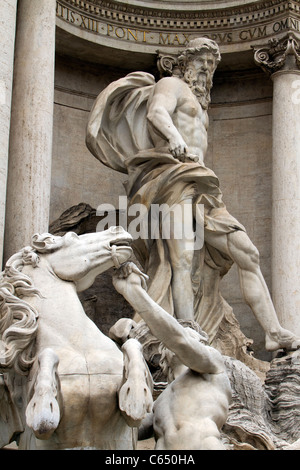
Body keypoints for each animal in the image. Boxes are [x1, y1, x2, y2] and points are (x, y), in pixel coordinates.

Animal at [0, 229, 152, 450]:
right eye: (72, 236)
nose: (116, 229)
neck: (79, 342)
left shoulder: (125, 422)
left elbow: (133, 346)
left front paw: (136, 395)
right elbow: (47, 358)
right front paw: (42, 406)